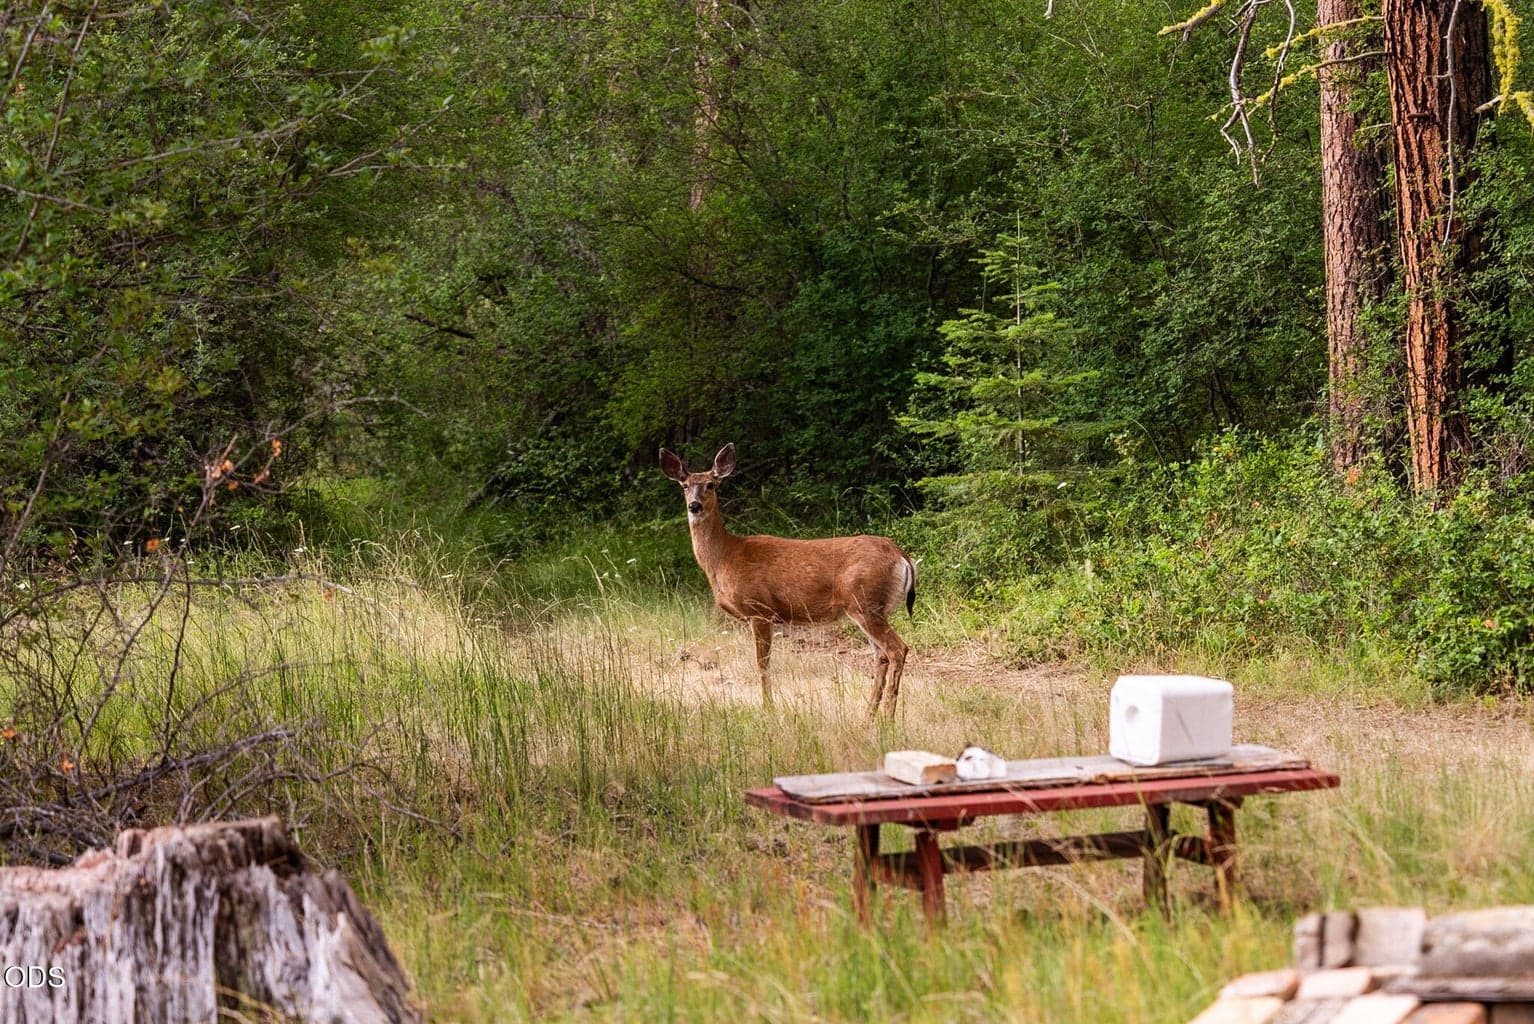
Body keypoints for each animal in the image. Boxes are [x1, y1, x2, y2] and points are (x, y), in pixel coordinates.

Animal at [659, 443, 916, 716]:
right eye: (684, 485)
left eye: (711, 484)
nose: (694, 506)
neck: (725, 558)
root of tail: (901, 556)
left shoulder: (759, 609)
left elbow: (762, 663)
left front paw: (768, 708)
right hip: (870, 608)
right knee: (881, 656)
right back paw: (868, 716)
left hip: (865, 602)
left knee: (897, 649)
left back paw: (887, 718)